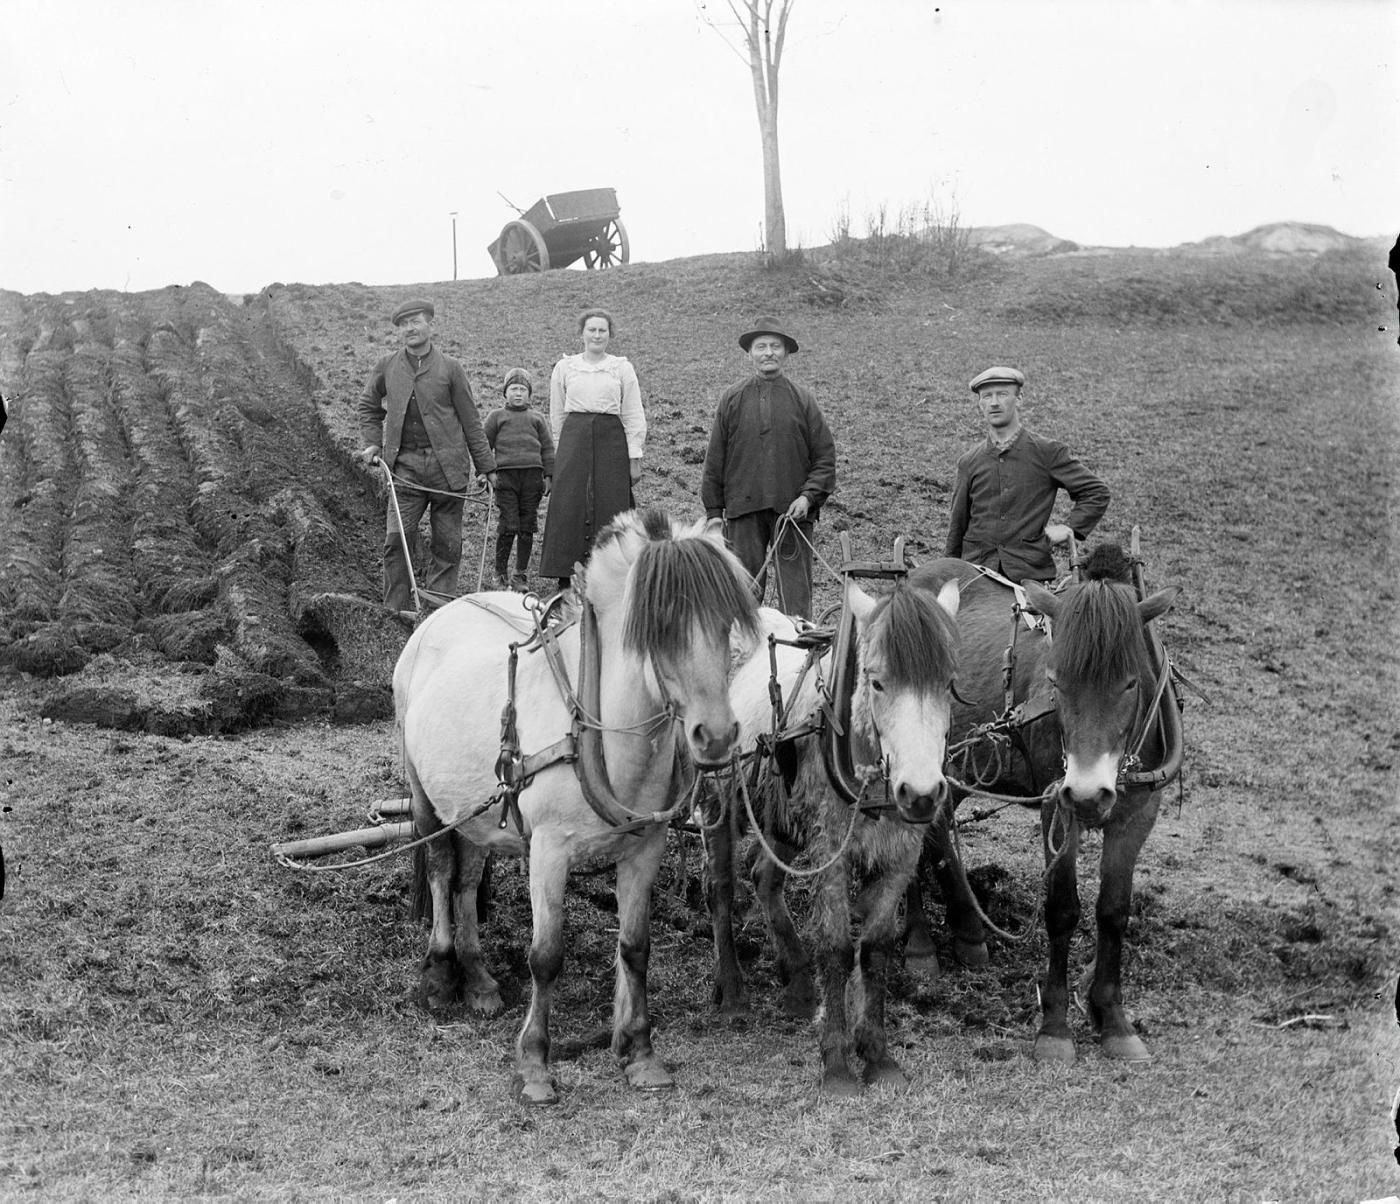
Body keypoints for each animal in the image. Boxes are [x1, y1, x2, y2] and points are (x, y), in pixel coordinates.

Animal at [400, 506, 761, 1103]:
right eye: (657, 624)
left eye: (725, 622)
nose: (716, 737)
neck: (599, 733)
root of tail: (440, 613)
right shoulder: (549, 851)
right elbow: (546, 956)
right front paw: (534, 1064)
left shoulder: (645, 850)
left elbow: (636, 947)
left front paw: (640, 1053)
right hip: (426, 796)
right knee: (441, 869)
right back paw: (439, 974)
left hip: (477, 809)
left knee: (468, 877)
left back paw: (477, 978)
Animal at [705, 579, 957, 1097]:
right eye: (877, 682)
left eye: (947, 683)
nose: (922, 793)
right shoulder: (832, 851)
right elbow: (837, 946)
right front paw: (837, 1062)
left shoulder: (900, 856)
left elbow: (877, 949)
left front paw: (877, 1055)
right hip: (723, 800)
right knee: (721, 888)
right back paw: (733, 991)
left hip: (782, 814)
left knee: (764, 877)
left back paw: (799, 983)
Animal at [907, 548, 1181, 1064]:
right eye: (1056, 680)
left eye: (1131, 683)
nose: (1090, 793)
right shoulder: (1060, 807)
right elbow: (1062, 909)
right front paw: (1054, 1027)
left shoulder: (1137, 814)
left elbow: (1114, 911)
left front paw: (1113, 1019)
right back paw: (918, 945)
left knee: (939, 827)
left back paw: (969, 931)